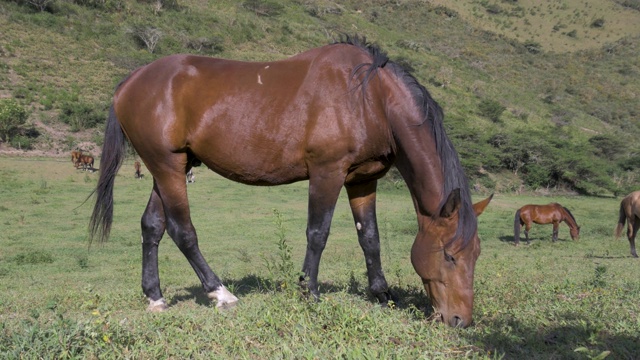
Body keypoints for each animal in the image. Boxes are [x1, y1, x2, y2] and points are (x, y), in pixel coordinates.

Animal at [87, 35, 492, 326]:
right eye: (450, 255)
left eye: (476, 254)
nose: (460, 320)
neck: (369, 97)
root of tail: (130, 82)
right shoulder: (327, 173)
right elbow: (318, 233)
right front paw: (308, 293)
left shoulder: (362, 180)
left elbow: (370, 238)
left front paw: (382, 294)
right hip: (168, 167)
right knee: (182, 231)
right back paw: (220, 293)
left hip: (167, 168)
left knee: (152, 226)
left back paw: (155, 297)